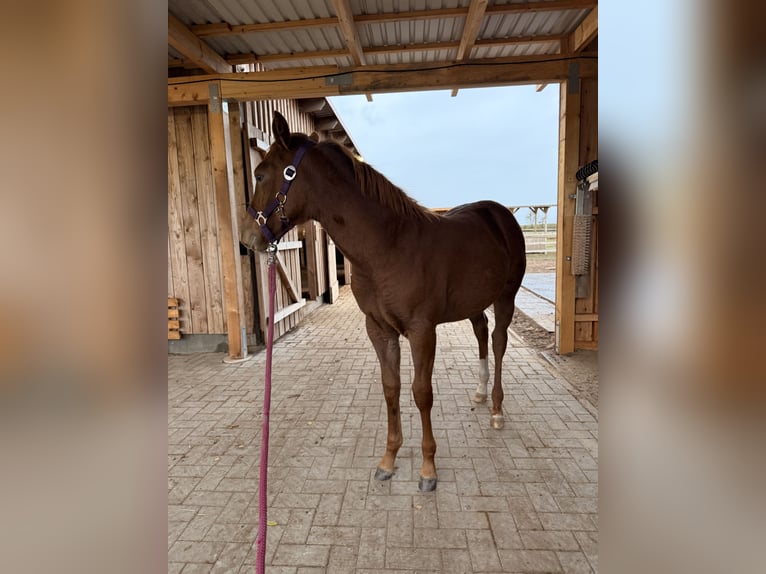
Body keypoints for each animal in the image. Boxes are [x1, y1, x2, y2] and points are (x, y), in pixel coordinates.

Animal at [241, 112, 526, 491]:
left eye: (260, 174)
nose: (247, 238)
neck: (388, 246)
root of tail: (501, 214)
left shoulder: (422, 332)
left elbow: (421, 393)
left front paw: (427, 468)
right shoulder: (378, 328)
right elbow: (391, 389)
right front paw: (389, 460)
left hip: (506, 298)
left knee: (497, 342)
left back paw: (495, 409)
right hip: (474, 303)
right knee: (481, 334)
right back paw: (479, 393)